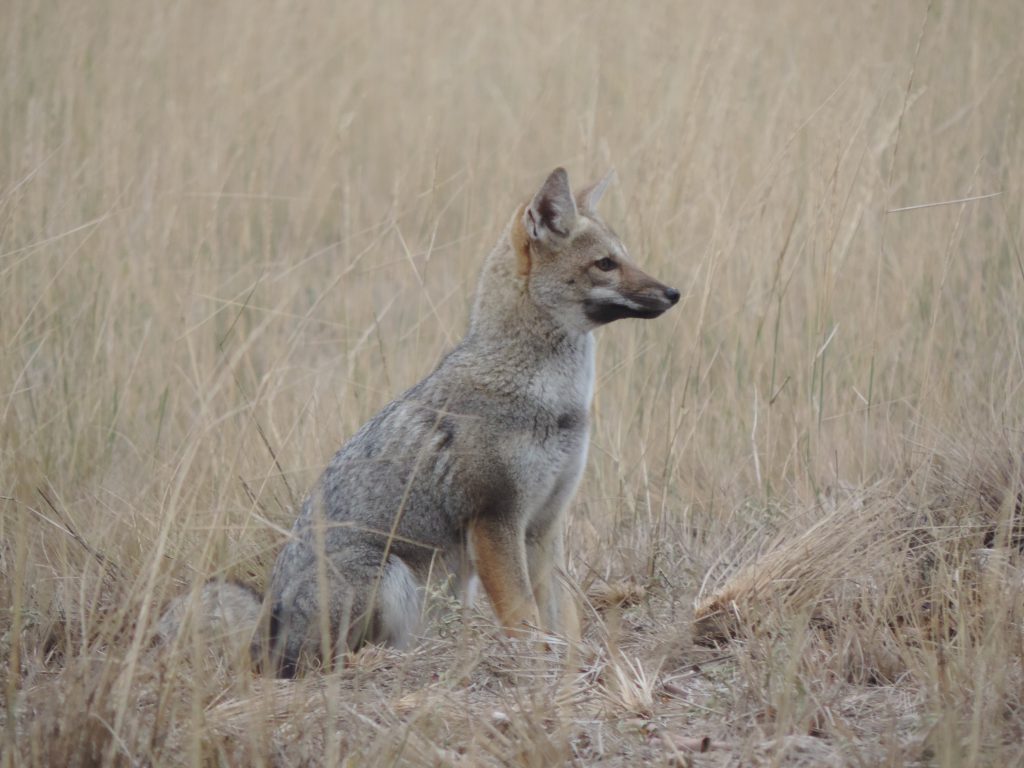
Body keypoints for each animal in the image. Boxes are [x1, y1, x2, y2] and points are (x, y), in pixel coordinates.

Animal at [158, 168, 679, 676]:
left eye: (625, 257)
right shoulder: (495, 520)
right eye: (606, 264)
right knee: (327, 662)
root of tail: (268, 637)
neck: (553, 398)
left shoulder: (544, 525)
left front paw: (570, 659)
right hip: (388, 574)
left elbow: (562, 615)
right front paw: (536, 660)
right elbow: (523, 615)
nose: (674, 293)